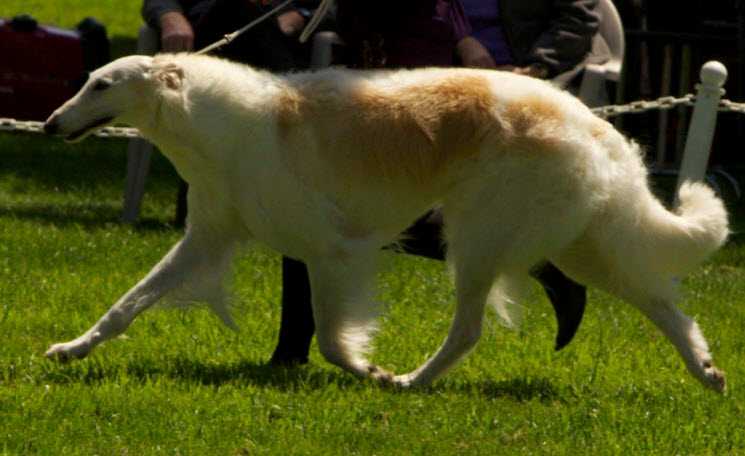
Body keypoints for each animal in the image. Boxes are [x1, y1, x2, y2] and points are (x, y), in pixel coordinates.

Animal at [45, 52, 728, 388]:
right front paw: (71, 350)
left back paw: (410, 382)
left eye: (102, 84)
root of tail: (590, 121)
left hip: (481, 242)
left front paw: (368, 371)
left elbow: (329, 338)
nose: (50, 124)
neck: (227, 124)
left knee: (468, 332)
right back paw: (709, 373)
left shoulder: (330, 252)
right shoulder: (207, 238)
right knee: (666, 306)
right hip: (583, 242)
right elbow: (125, 306)